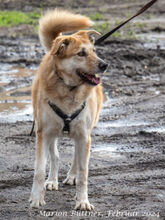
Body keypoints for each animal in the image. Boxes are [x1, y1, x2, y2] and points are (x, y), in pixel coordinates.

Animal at [29, 9, 107, 211]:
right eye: (81, 53)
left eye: (94, 51)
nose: (104, 65)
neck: (69, 89)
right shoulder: (43, 132)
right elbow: (39, 169)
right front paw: (36, 198)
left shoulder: (84, 135)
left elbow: (83, 171)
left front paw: (82, 201)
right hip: (52, 132)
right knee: (55, 155)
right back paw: (52, 180)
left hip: (83, 134)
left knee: (76, 157)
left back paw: (72, 176)